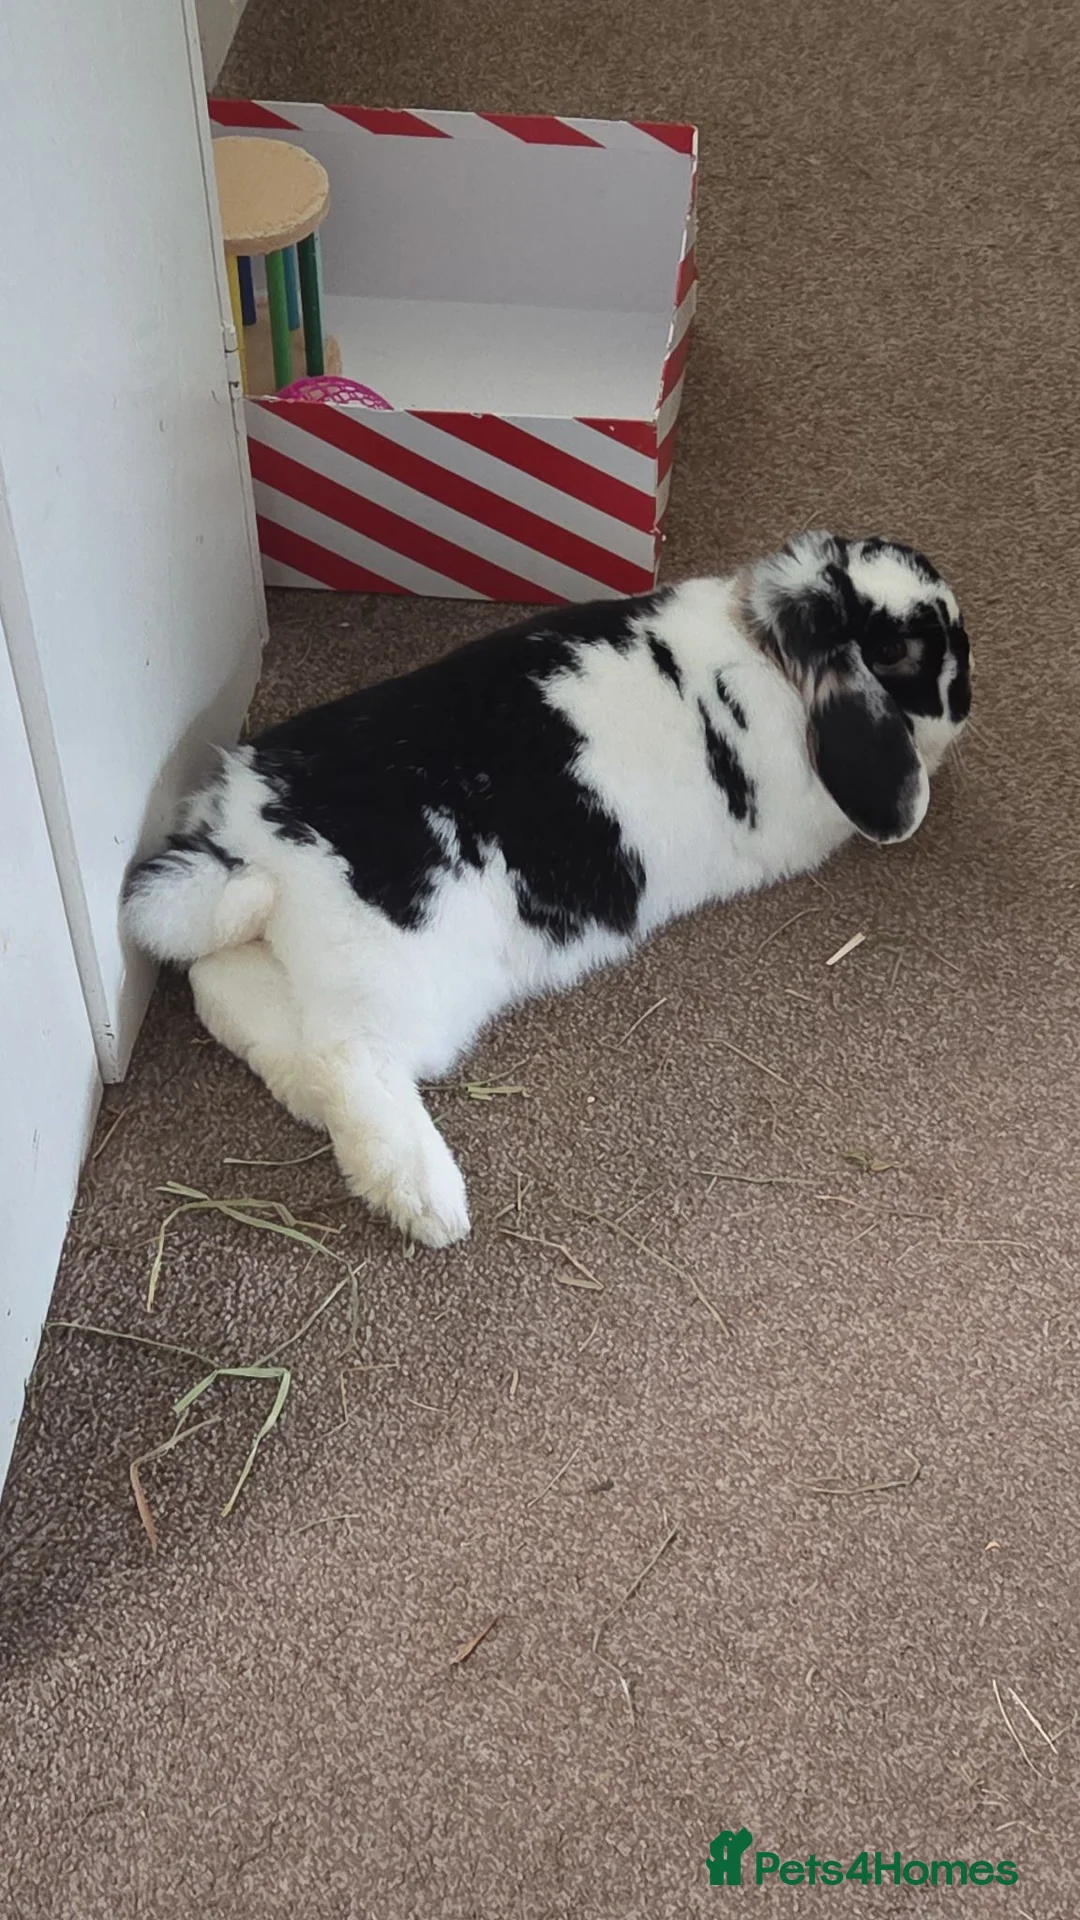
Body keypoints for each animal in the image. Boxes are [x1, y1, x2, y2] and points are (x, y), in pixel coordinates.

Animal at [122, 530, 972, 1249]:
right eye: (897, 648)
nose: (966, 699)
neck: (766, 649)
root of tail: (247, 848)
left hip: (279, 953)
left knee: (230, 996)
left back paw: (305, 1094)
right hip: (398, 976)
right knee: (350, 1059)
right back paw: (429, 1201)